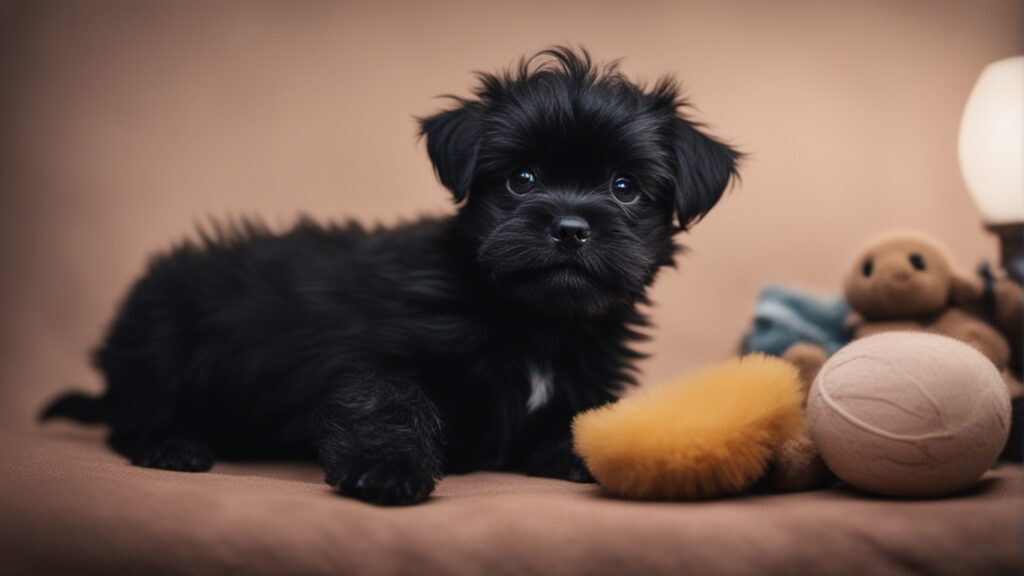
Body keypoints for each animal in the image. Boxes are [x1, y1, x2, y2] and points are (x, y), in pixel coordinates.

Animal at [44, 47, 741, 500]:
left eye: (624, 188)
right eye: (522, 180)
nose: (570, 226)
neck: (534, 322)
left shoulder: (582, 380)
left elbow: (582, 423)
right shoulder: (375, 361)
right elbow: (392, 403)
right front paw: (387, 469)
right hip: (163, 340)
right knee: (137, 409)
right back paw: (172, 445)